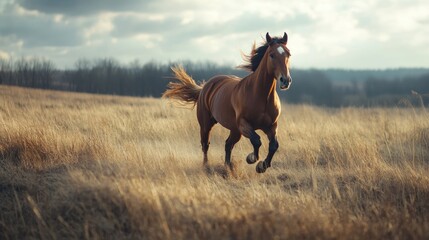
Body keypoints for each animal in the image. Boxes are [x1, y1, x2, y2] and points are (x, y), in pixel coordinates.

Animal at [163, 32, 290, 173]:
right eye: (272, 55)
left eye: (288, 54)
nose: (285, 80)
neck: (261, 96)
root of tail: (205, 87)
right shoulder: (243, 124)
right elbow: (256, 140)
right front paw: (252, 158)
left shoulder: (271, 126)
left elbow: (274, 145)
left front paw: (262, 166)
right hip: (207, 125)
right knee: (205, 144)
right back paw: (206, 166)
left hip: (234, 130)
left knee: (228, 144)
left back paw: (228, 166)